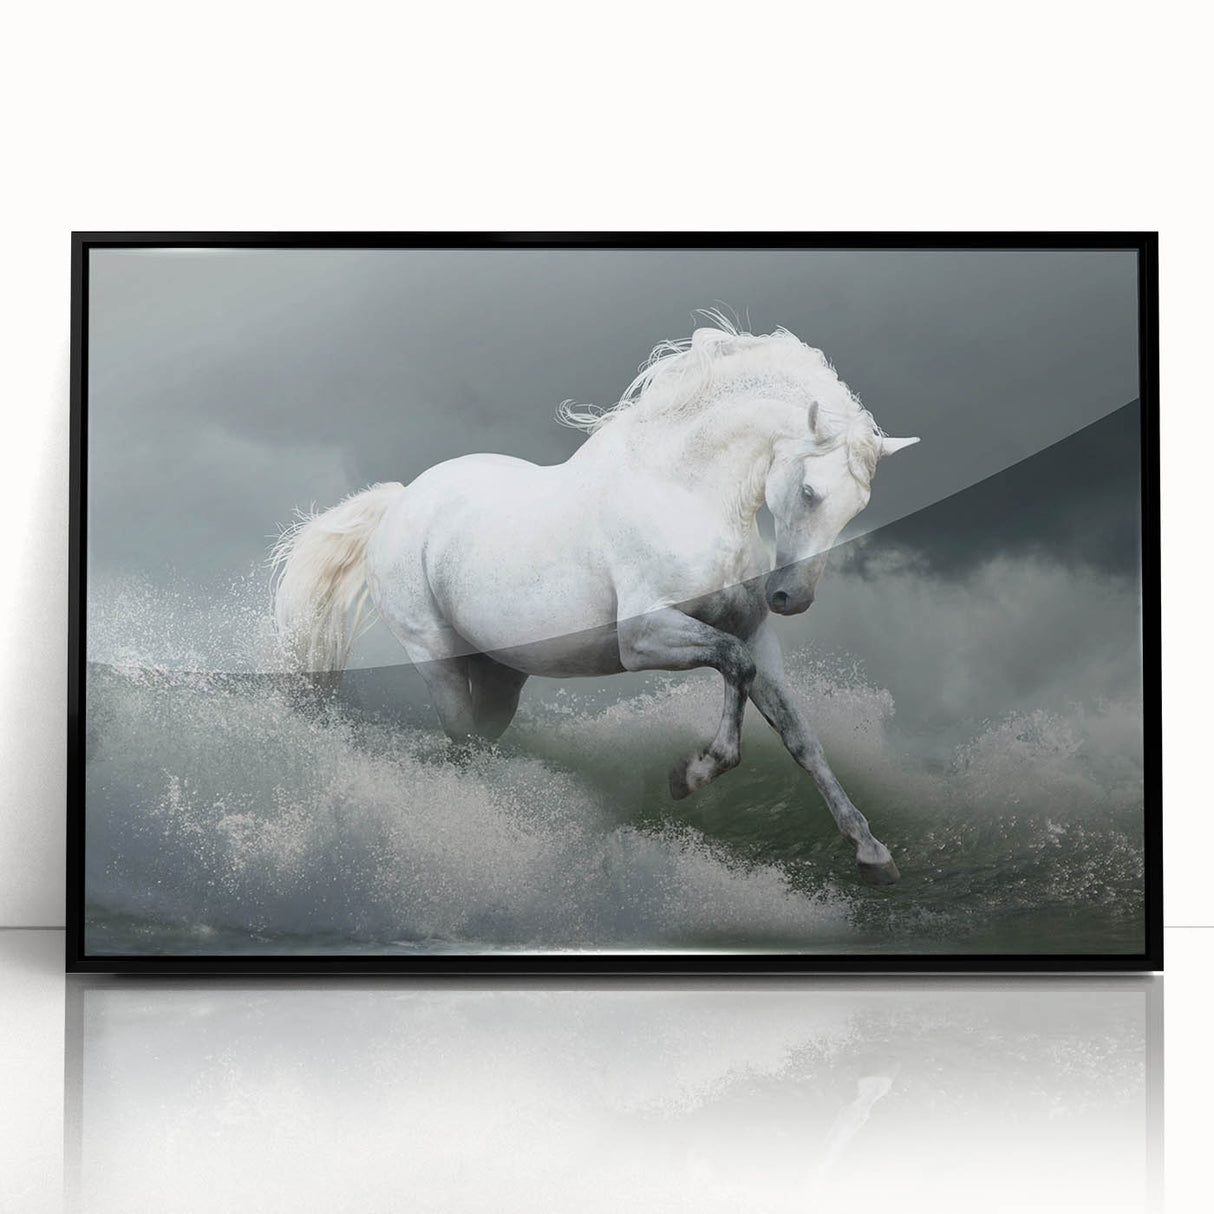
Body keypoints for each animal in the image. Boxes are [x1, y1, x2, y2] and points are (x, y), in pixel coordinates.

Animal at [272, 318, 919, 884]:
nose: (790, 597)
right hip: (436, 657)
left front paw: (872, 853)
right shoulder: (642, 639)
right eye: (809, 491)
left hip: (502, 676)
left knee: (480, 737)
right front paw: (689, 775)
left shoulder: (758, 636)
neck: (684, 494)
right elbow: (733, 666)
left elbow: (798, 734)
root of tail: (400, 500)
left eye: (858, 507)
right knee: (459, 738)